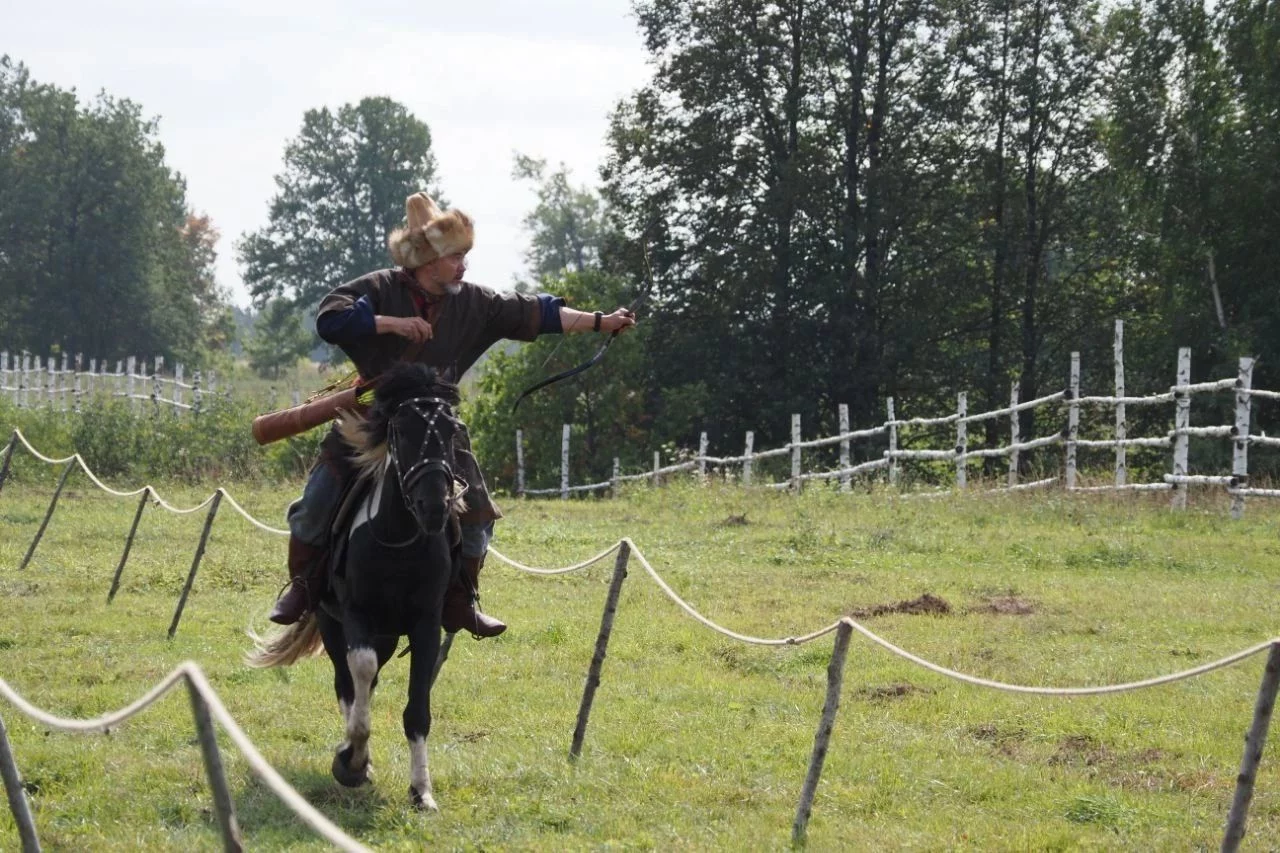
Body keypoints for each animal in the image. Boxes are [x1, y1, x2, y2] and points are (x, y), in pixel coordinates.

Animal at [250, 361, 471, 809]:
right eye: (401, 430)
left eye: (452, 431)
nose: (435, 507)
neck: (399, 540)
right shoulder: (355, 617)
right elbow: (359, 677)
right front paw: (351, 762)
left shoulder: (426, 624)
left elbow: (417, 708)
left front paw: (421, 791)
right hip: (332, 623)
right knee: (348, 684)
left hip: (386, 634)